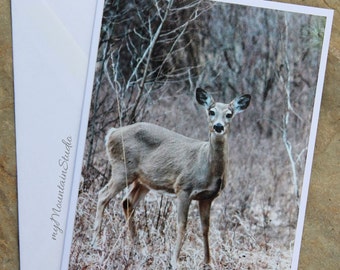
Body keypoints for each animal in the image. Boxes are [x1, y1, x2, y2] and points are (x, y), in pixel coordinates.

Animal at [91, 88, 251, 266]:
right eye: (211, 111)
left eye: (229, 114)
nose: (218, 126)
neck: (206, 166)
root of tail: (111, 133)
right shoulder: (183, 188)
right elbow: (182, 225)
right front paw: (175, 261)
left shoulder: (208, 197)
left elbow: (205, 228)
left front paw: (207, 261)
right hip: (122, 169)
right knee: (103, 195)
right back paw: (96, 243)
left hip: (143, 181)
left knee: (127, 202)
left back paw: (136, 247)